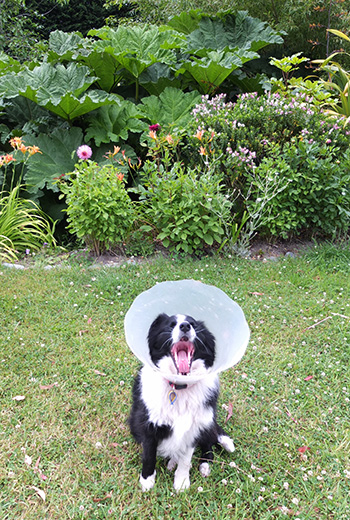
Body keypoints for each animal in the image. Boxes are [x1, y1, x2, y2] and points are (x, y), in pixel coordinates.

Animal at [129, 312, 235, 492]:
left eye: (193, 324)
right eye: (171, 325)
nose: (185, 326)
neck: (179, 386)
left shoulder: (194, 428)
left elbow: (186, 460)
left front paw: (182, 483)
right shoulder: (149, 426)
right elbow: (149, 455)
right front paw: (147, 481)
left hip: (206, 421)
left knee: (208, 443)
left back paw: (204, 465)